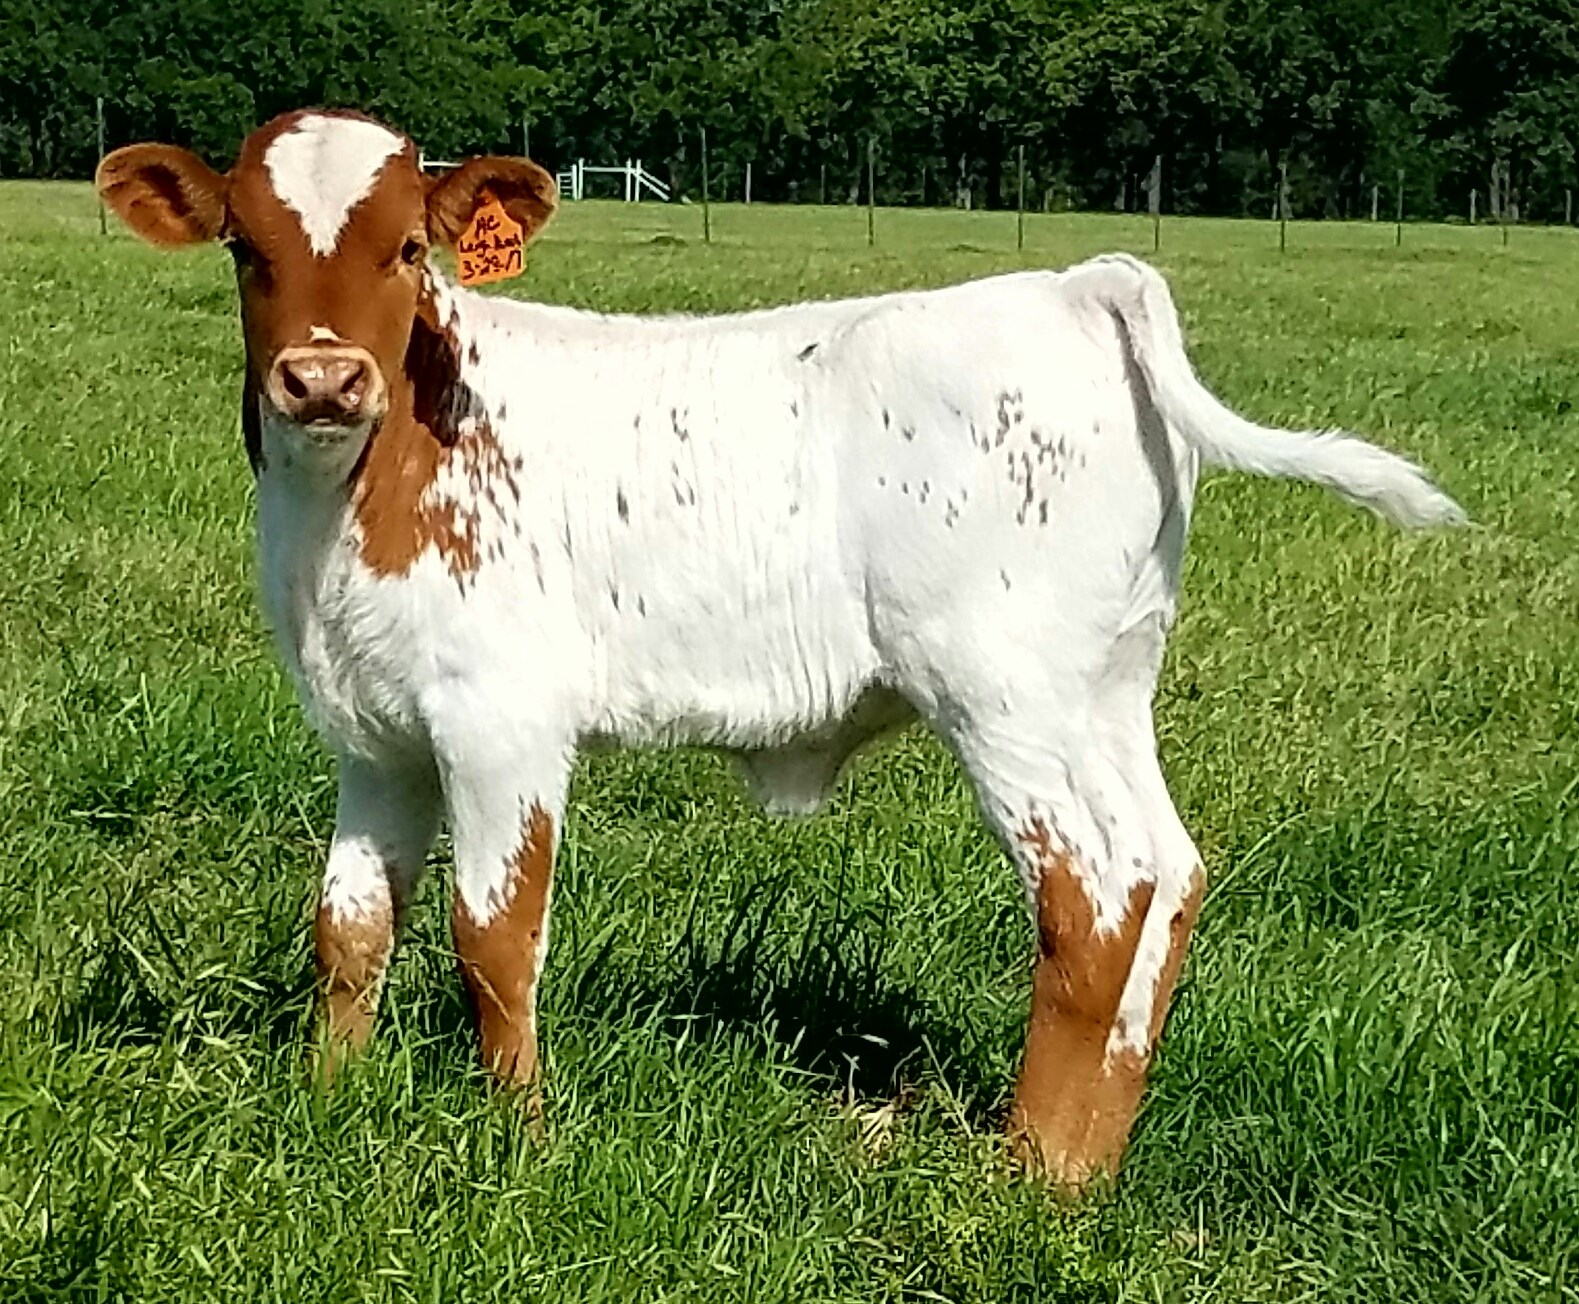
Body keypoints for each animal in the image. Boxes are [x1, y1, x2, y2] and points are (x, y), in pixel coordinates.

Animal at [96, 109, 1463, 1192]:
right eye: (245, 248)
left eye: (407, 248)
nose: (322, 378)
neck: (350, 505)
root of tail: (1075, 283)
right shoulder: (373, 735)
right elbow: (350, 925)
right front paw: (327, 1104)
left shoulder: (501, 723)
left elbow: (494, 933)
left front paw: (520, 1141)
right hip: (1106, 684)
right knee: (1168, 869)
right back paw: (1090, 1165)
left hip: (1003, 691)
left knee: (1091, 893)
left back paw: (1024, 1178)